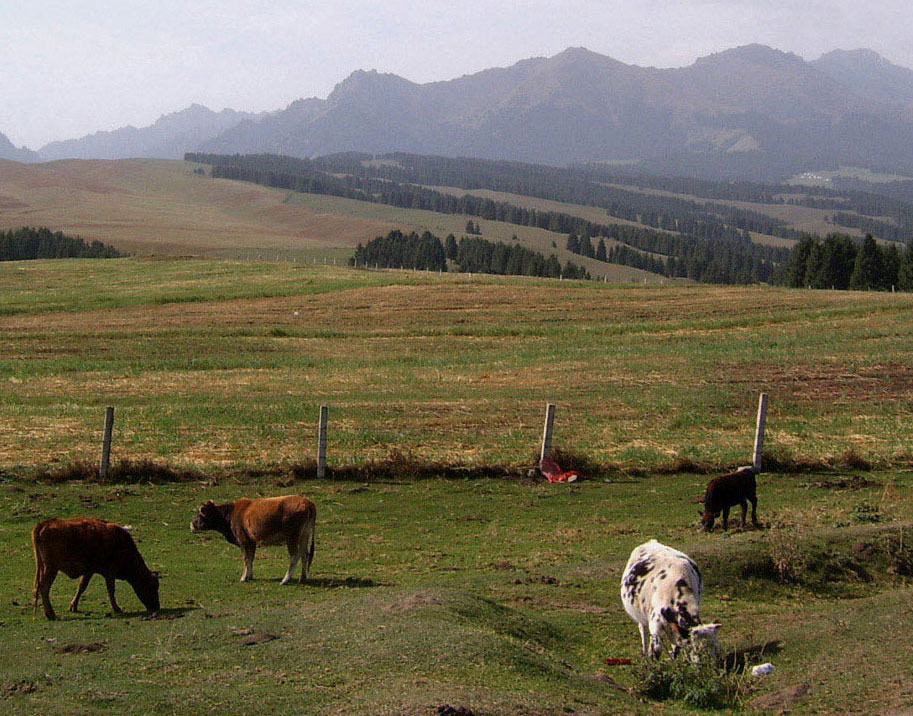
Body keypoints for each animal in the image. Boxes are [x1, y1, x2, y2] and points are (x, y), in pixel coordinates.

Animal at [31, 516, 160, 620]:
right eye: (152, 586)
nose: (156, 607)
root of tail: (45, 523)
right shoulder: (110, 572)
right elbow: (111, 590)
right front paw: (117, 608)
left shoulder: (89, 571)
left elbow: (81, 587)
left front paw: (73, 606)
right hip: (51, 569)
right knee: (44, 587)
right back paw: (51, 614)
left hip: (43, 567)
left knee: (39, 586)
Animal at [190, 496, 318, 584]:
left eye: (200, 514)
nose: (191, 524)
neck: (231, 513)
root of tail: (306, 502)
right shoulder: (251, 542)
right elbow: (251, 559)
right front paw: (250, 576)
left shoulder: (244, 541)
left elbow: (246, 559)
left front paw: (243, 577)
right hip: (304, 535)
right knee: (304, 554)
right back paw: (302, 578)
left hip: (292, 537)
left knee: (295, 555)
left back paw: (285, 580)